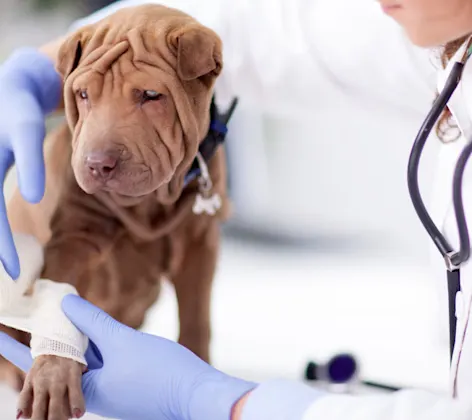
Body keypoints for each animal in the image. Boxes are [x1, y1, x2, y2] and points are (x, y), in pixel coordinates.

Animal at [0, 4, 232, 420]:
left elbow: (196, 317)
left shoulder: (200, 242)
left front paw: (199, 374)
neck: (150, 203)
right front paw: (52, 375)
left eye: (152, 95)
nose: (97, 164)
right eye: (83, 94)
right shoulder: (73, 238)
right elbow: (61, 302)